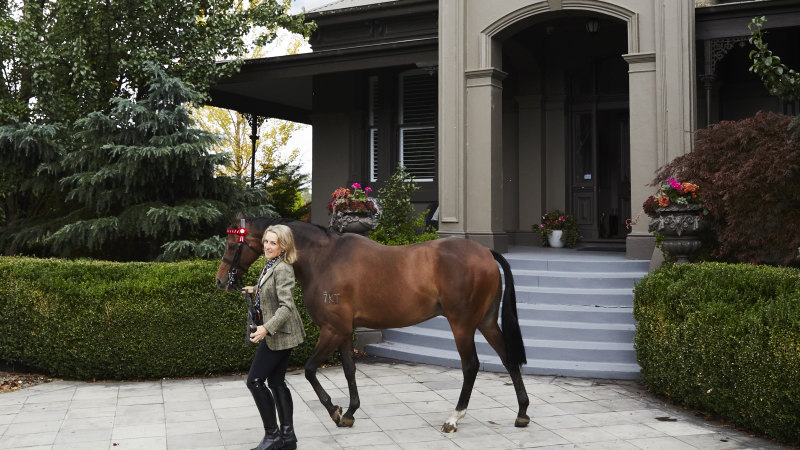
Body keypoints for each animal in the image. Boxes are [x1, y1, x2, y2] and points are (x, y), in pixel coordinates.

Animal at [217, 216, 532, 434]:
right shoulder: (344, 330)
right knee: (508, 358)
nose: (221, 281)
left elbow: (309, 370)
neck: (324, 258)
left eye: (232, 244)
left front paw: (335, 410)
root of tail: (485, 252)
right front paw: (350, 412)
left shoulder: (332, 330)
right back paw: (522, 412)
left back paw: (454, 418)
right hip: (486, 322)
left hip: (462, 325)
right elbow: (349, 369)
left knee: (471, 366)